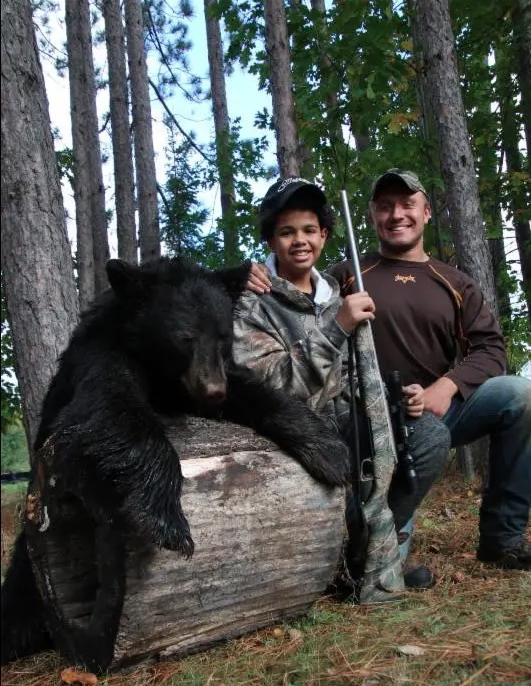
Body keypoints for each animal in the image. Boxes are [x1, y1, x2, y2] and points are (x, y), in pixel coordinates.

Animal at [1, 256, 351, 673]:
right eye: (184, 337)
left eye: (223, 337)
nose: (213, 390)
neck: (161, 373)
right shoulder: (102, 354)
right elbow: (109, 406)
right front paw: (167, 520)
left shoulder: (209, 382)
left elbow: (256, 392)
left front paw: (329, 451)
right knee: (19, 600)